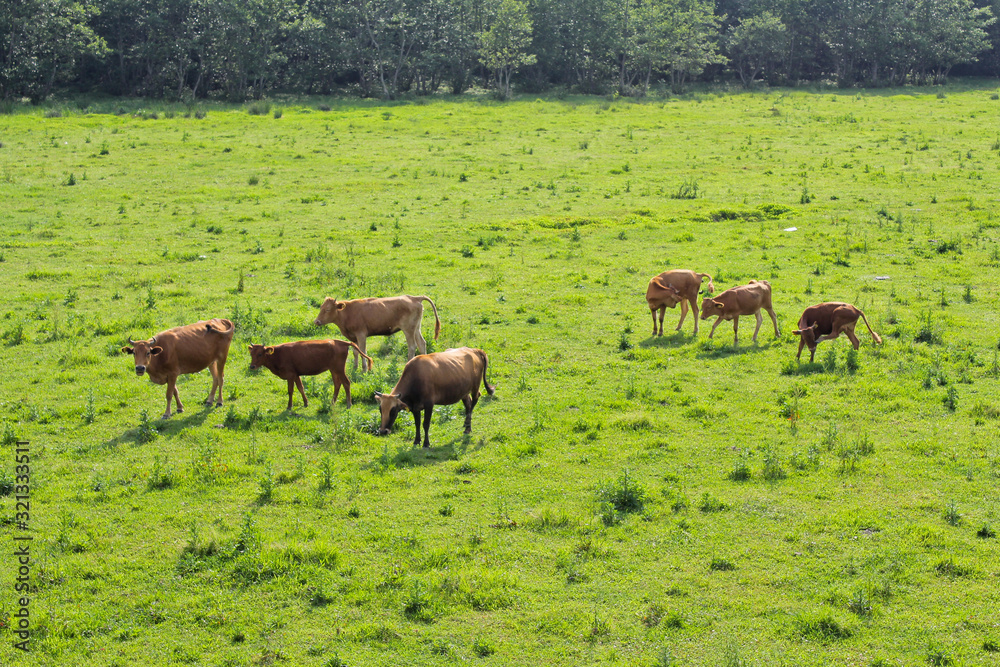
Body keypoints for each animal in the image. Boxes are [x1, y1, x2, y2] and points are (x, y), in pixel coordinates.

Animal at [310, 294, 440, 374]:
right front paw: (355, 368)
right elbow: (355, 352)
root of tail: (414, 298)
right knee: (422, 344)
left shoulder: (361, 335)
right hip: (416, 328)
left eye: (327, 309)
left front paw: (364, 369)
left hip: (408, 329)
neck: (348, 313)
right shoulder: (354, 337)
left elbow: (362, 352)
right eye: (321, 307)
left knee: (412, 346)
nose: (316, 321)